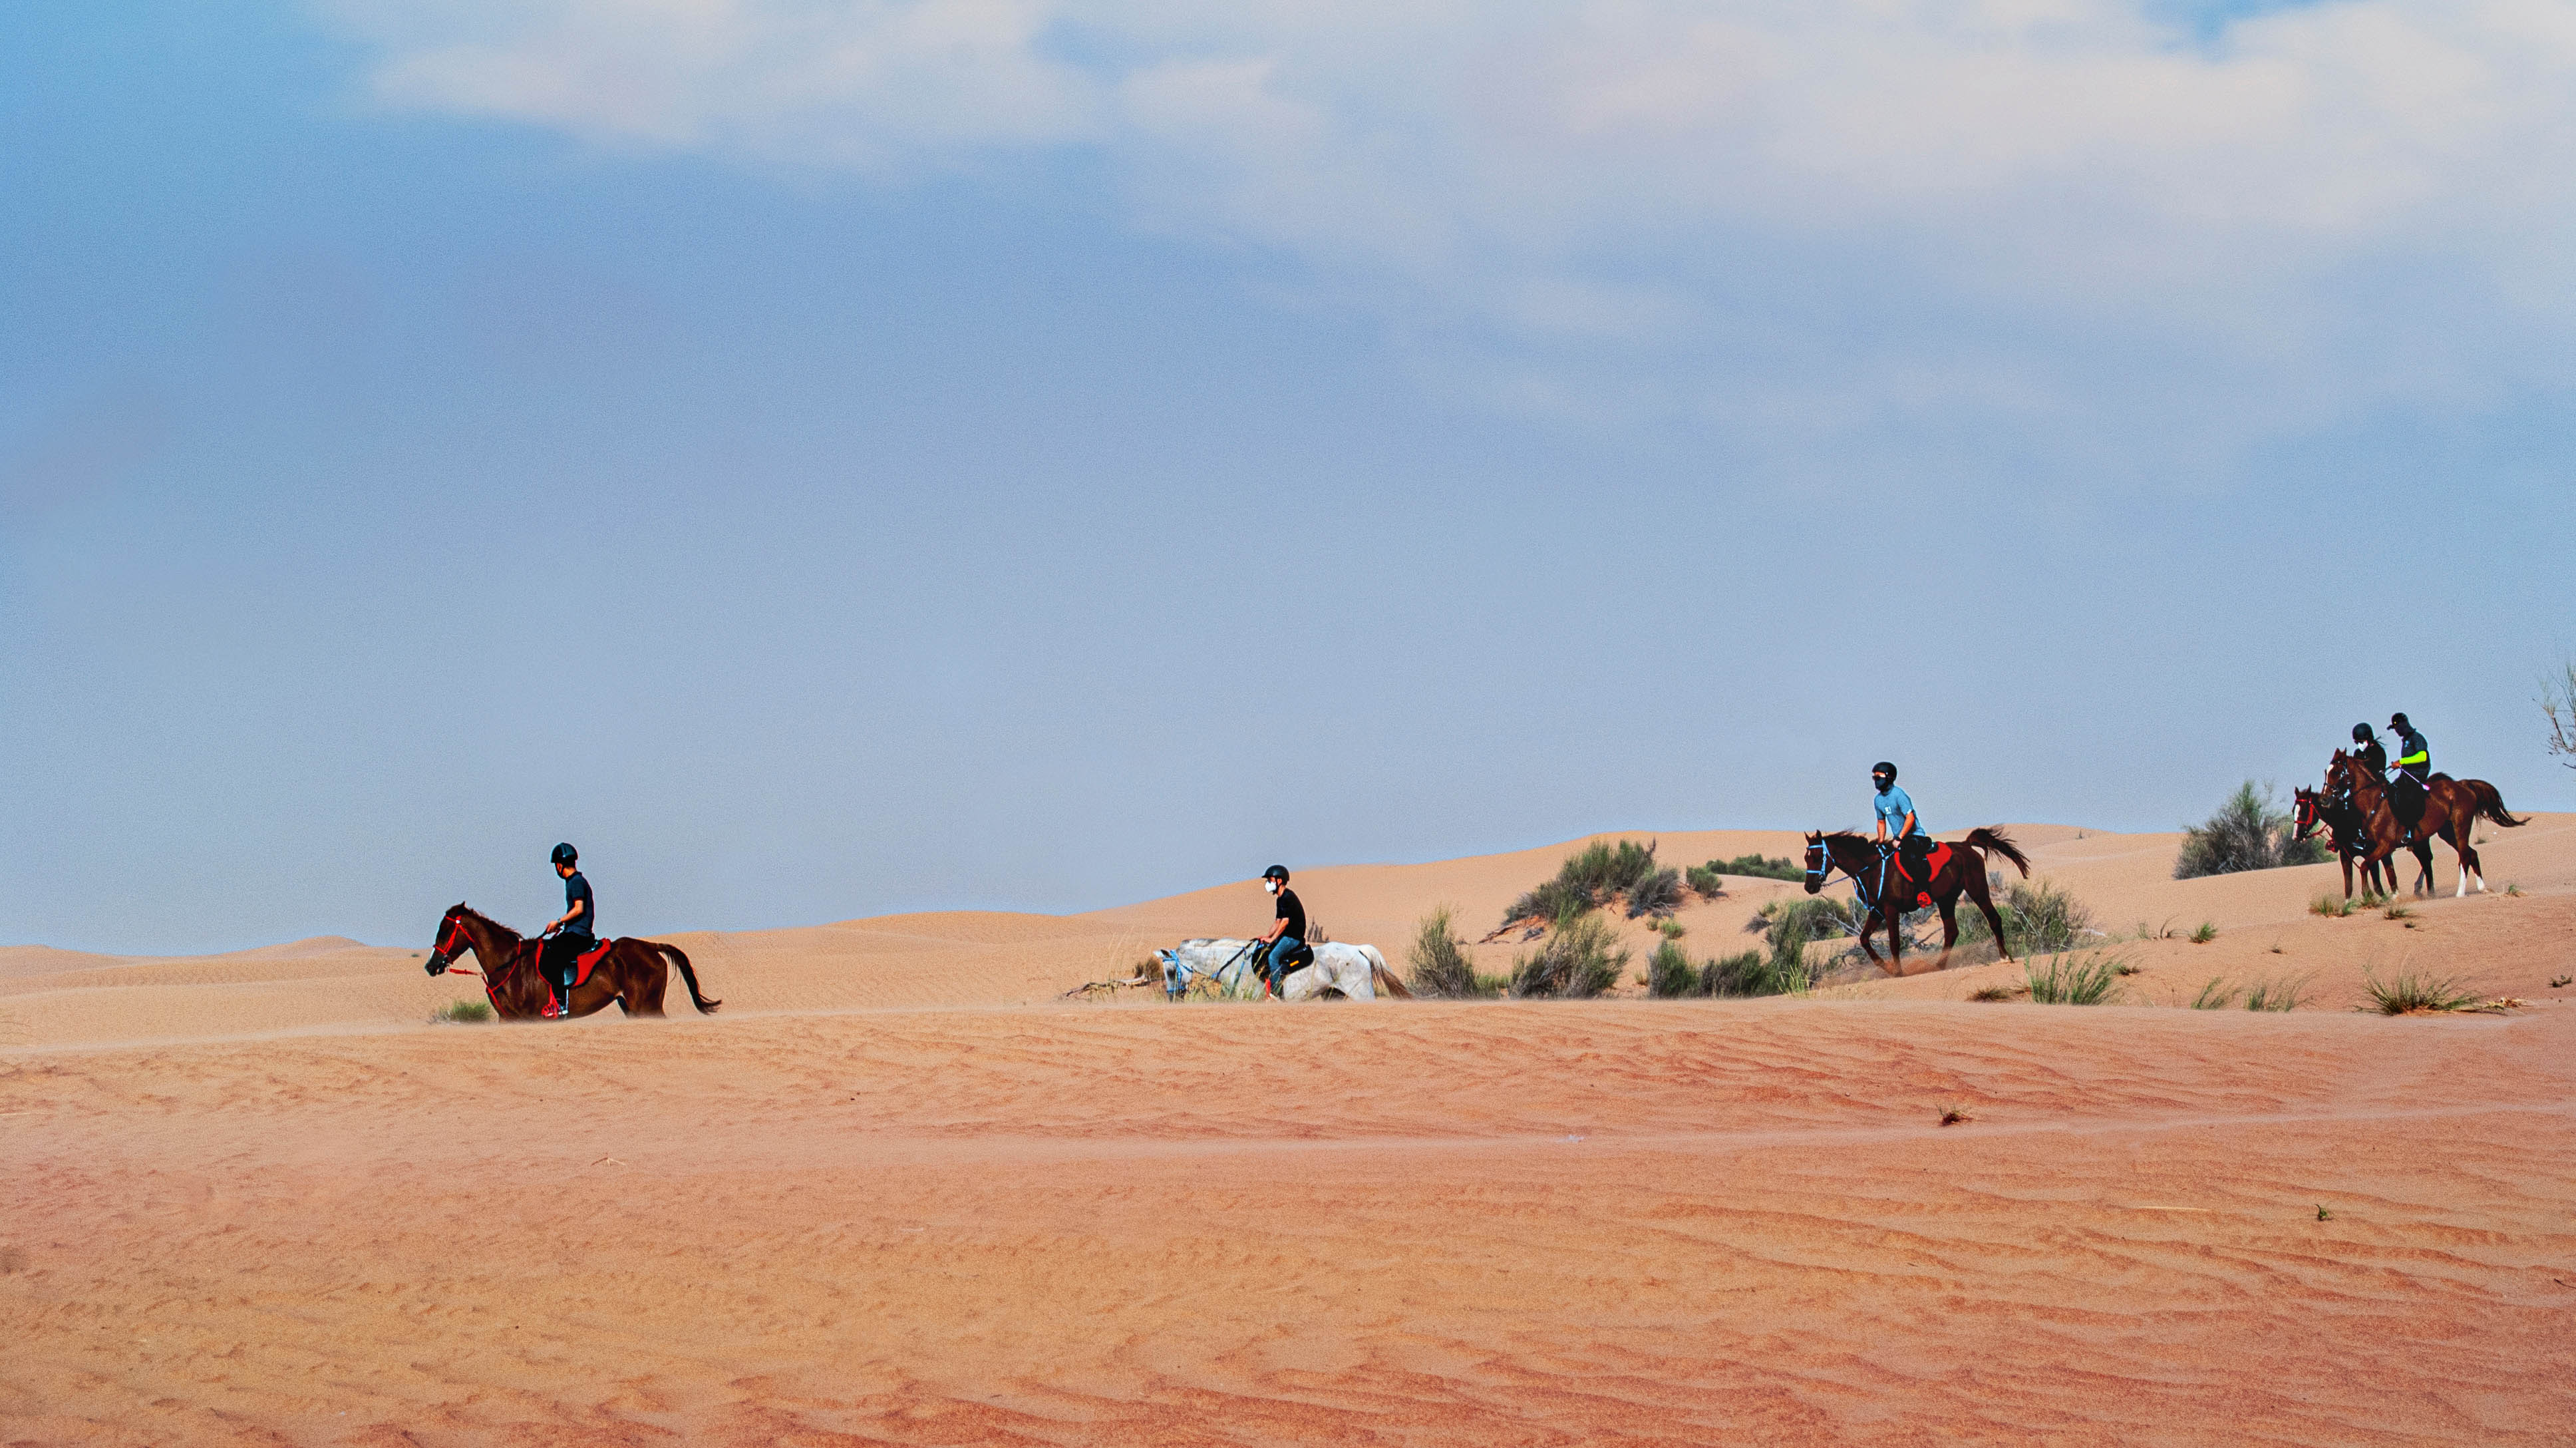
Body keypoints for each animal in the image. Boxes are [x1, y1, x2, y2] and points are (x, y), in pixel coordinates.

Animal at [425, 904, 721, 1020]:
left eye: (445, 930)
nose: (431, 966)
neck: (510, 965)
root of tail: (651, 947)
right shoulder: (507, 1020)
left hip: (647, 1006)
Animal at [1804, 829, 2029, 976]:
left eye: (1816, 856)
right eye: (1806, 858)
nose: (1809, 887)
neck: (1871, 869)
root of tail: (1966, 845)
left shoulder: (1890, 909)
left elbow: (1894, 942)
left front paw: (1898, 971)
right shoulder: (1877, 911)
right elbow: (1864, 939)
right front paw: (1885, 966)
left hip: (1977, 889)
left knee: (1993, 918)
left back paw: (2005, 957)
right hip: (1946, 900)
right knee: (1952, 931)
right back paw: (1938, 966)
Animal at [2293, 785, 2428, 898]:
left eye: (2304, 810)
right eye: (2293, 810)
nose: (2295, 836)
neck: (2348, 822)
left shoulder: (2373, 854)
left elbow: (2379, 885)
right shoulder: (2345, 856)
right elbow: (2349, 887)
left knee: (2426, 860)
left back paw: (2419, 889)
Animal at [2323, 750, 2525, 898]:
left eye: (2337, 772)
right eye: (2326, 771)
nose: (2325, 799)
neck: (2373, 804)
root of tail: (2463, 785)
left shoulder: (2385, 845)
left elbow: (2366, 866)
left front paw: (2368, 896)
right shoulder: (2379, 849)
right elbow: (2387, 873)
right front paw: (2390, 898)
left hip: (2461, 826)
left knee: (2464, 856)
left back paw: (2460, 893)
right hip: (2447, 832)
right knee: (2471, 853)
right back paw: (2482, 888)